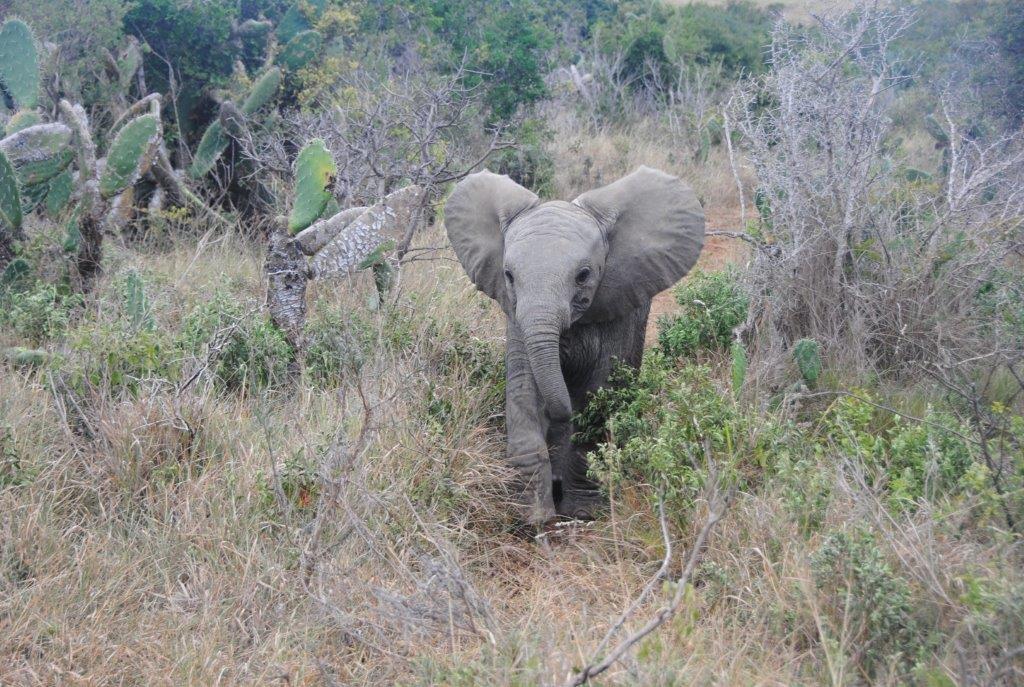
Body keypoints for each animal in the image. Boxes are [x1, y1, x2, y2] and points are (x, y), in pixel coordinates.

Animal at [448, 168, 704, 524]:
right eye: (509, 275)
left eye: (583, 275)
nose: (559, 414)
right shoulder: (517, 316)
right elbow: (523, 387)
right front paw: (531, 517)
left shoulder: (617, 308)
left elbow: (600, 390)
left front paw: (583, 512)